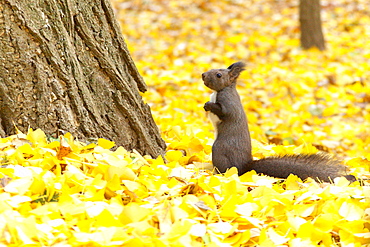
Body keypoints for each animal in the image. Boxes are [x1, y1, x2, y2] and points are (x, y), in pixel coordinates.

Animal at [202, 61, 356, 181]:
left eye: (219, 75)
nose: (203, 75)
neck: (221, 91)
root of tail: (245, 167)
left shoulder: (229, 103)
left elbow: (224, 113)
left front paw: (208, 105)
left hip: (220, 149)